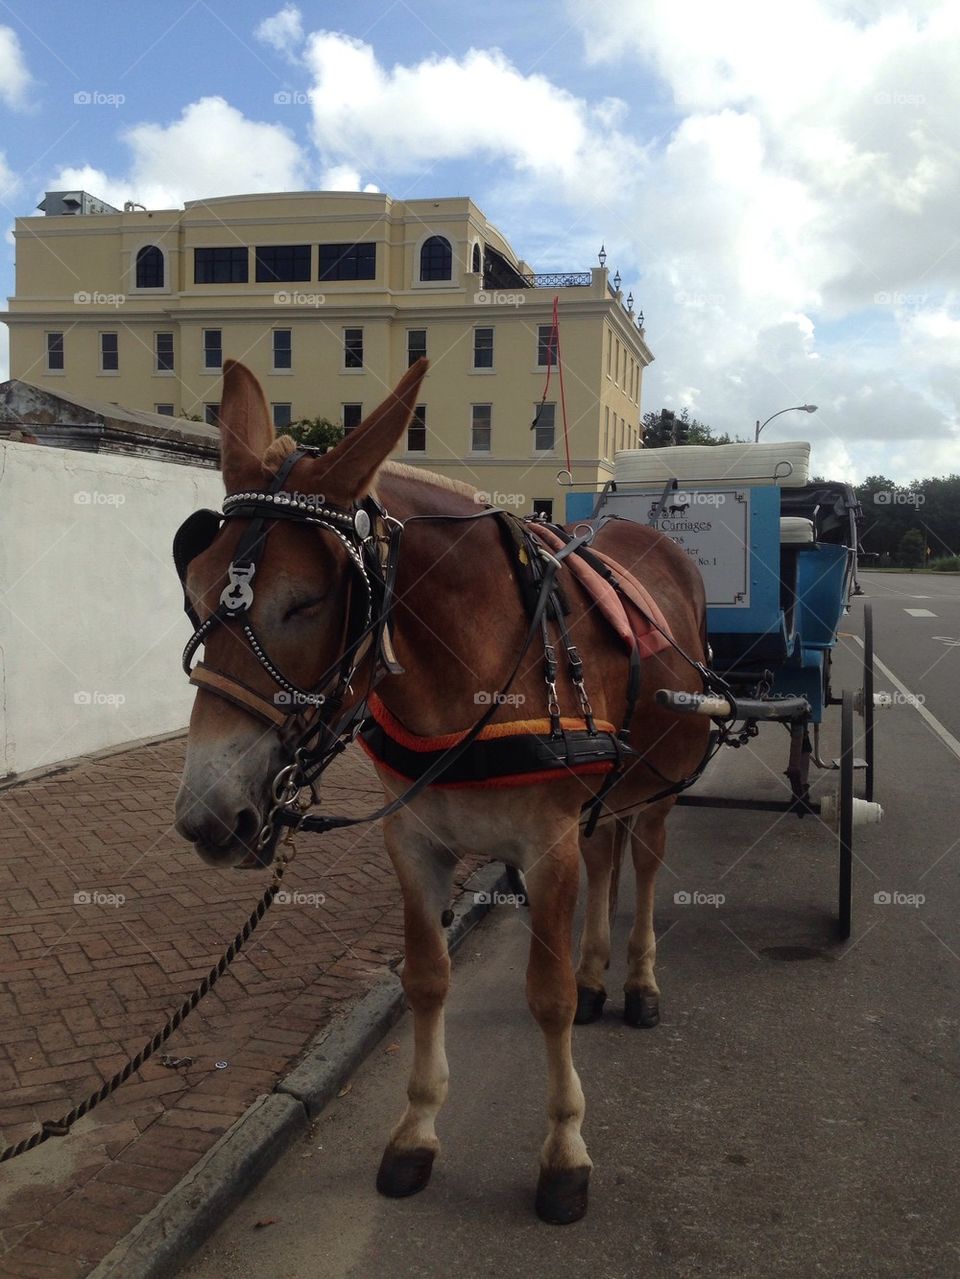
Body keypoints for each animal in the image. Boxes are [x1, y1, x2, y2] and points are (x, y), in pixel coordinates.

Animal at [173, 357, 711, 1224]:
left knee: (647, 864)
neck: (470, 670)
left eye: (307, 601)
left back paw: (635, 979)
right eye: (191, 590)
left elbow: (547, 996)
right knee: (607, 859)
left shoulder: (546, 846)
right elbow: (425, 979)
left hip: (662, 779)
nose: (208, 813)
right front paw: (416, 1130)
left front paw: (565, 1148)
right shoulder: (416, 840)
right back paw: (600, 971)